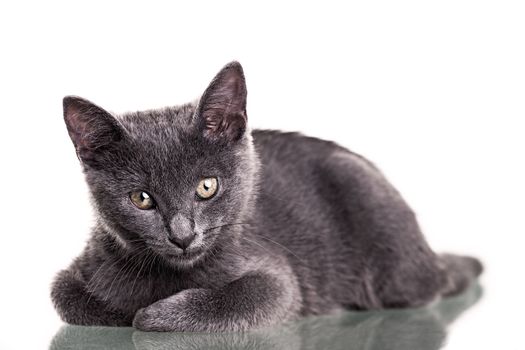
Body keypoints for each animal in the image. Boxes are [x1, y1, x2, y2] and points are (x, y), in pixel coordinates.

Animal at [51, 61, 482, 332]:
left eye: (207, 186)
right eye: (141, 198)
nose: (183, 236)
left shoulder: (279, 279)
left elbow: (249, 297)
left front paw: (151, 315)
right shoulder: (77, 269)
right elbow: (67, 296)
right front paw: (125, 309)